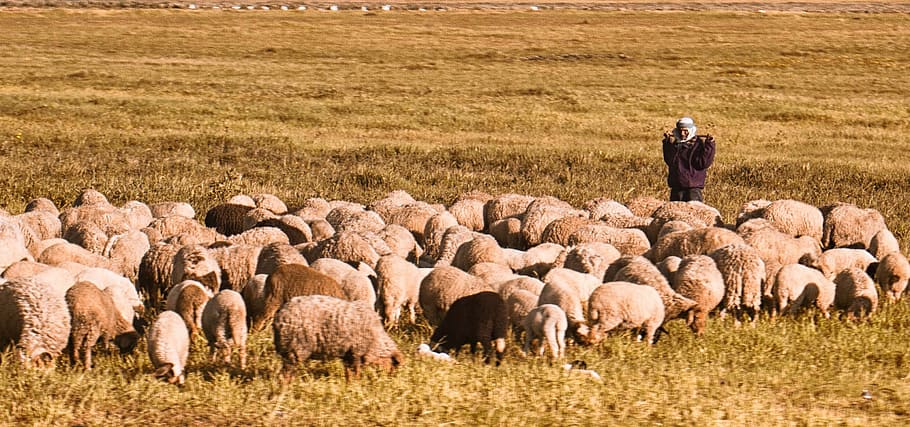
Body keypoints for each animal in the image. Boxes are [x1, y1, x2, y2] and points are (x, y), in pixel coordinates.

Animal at [273, 295, 403, 380]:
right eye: (393, 365)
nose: (389, 381)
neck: (376, 340)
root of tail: (279, 317)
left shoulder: (349, 354)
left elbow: (349, 372)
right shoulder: (356, 352)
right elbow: (355, 372)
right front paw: (355, 384)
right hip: (295, 348)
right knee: (286, 372)